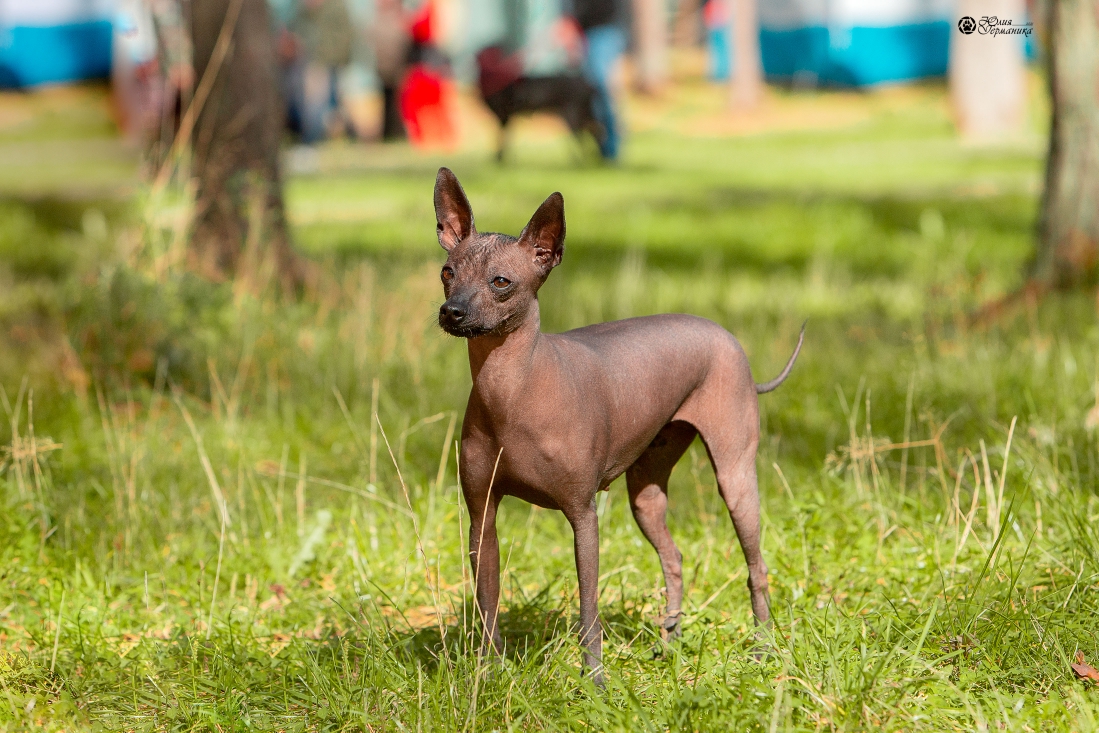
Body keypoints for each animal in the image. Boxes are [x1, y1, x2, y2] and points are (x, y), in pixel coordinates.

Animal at [433, 168, 804, 690]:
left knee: (757, 566)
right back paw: (670, 642)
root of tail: (724, 333)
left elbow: (588, 607)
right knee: (674, 559)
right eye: (448, 274)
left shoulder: (582, 516)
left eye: (501, 281)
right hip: (645, 494)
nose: (453, 312)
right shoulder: (482, 517)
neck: (511, 392)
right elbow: (488, 601)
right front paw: (488, 673)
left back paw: (763, 649)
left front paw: (595, 681)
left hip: (735, 477)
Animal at [476, 45, 606, 161]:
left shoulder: (503, 115)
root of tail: (588, 84)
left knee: (583, 136)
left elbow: (501, 138)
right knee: (597, 130)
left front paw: (498, 159)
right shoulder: (505, 116)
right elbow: (503, 138)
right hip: (584, 113)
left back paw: (580, 160)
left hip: (572, 114)